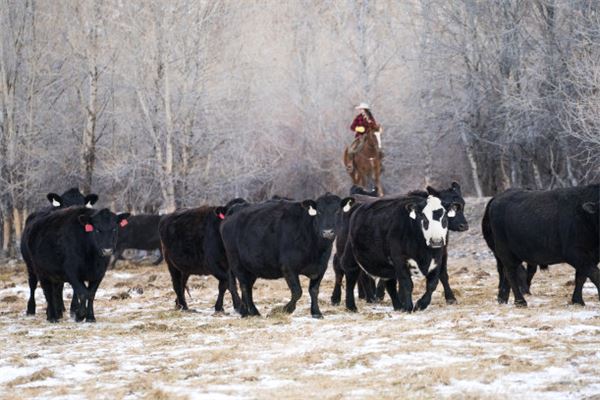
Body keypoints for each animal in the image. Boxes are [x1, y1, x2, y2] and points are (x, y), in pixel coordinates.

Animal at [21, 188, 98, 316]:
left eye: (82, 204)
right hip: (30, 264)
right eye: (65, 205)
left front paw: (74, 308)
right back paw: (31, 308)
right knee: (33, 283)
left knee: (58, 285)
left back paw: (60, 307)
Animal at [219, 194, 352, 318]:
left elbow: (314, 290)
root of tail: (235, 210)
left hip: (251, 267)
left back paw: (248, 311)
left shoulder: (321, 268)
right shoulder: (288, 268)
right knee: (244, 287)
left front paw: (316, 313)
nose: (327, 232)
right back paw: (252, 312)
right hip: (237, 263)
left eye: (337, 211)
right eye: (319, 211)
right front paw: (283, 310)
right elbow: (297, 291)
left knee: (247, 287)